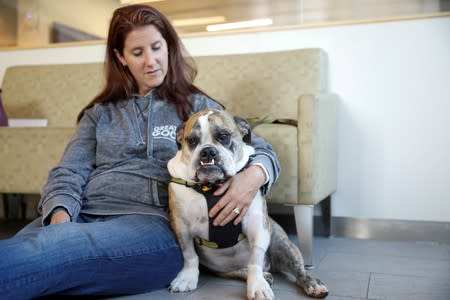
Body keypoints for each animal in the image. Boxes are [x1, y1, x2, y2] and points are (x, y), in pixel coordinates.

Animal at [167, 109, 328, 300]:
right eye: (191, 141)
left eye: (224, 136)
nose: (207, 151)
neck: (212, 186)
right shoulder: (181, 225)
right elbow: (190, 255)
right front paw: (187, 278)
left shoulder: (257, 225)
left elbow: (254, 259)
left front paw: (257, 286)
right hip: (219, 268)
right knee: (236, 270)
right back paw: (265, 275)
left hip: (282, 244)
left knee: (298, 269)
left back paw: (312, 283)